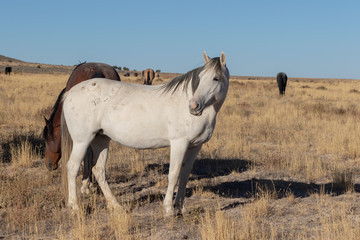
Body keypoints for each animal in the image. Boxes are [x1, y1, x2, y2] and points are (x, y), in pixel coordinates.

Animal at [60, 51, 229, 217]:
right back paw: (74, 207)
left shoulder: (195, 146)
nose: (193, 106)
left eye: (216, 78)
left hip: (100, 139)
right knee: (73, 167)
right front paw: (168, 209)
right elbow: (174, 174)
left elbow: (184, 175)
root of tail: (70, 93)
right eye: (200, 77)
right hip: (82, 141)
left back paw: (116, 206)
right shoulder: (179, 143)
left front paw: (181, 207)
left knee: (99, 170)